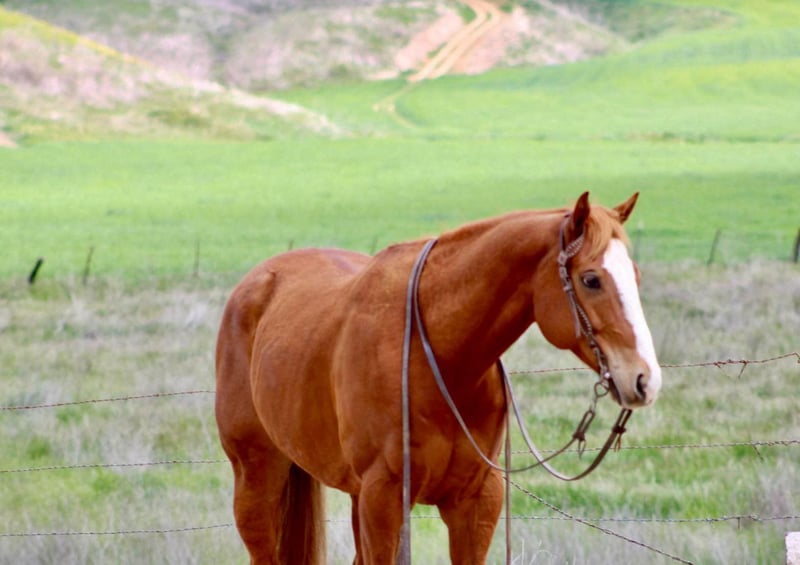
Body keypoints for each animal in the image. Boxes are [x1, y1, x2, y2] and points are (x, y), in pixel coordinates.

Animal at [215, 192, 661, 564]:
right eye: (591, 279)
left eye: (636, 276)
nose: (646, 379)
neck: (439, 360)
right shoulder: (384, 498)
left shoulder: (476, 501)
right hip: (257, 477)